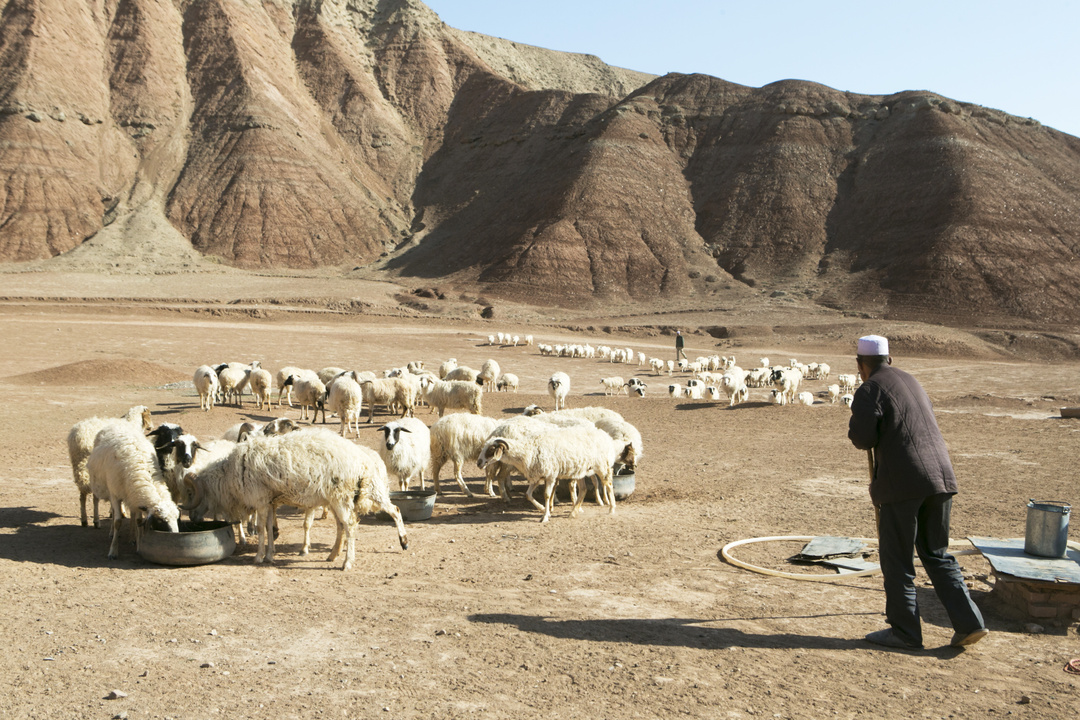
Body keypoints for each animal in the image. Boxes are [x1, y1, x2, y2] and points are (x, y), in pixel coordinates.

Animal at [88, 425, 179, 561]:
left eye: (177, 519)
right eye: (161, 520)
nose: (175, 535)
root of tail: (116, 424)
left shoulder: (137, 498)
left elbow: (138, 521)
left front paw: (139, 546)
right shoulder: (115, 495)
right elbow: (118, 522)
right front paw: (113, 551)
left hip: (130, 495)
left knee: (132, 513)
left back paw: (132, 538)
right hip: (110, 489)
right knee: (114, 511)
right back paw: (112, 533)